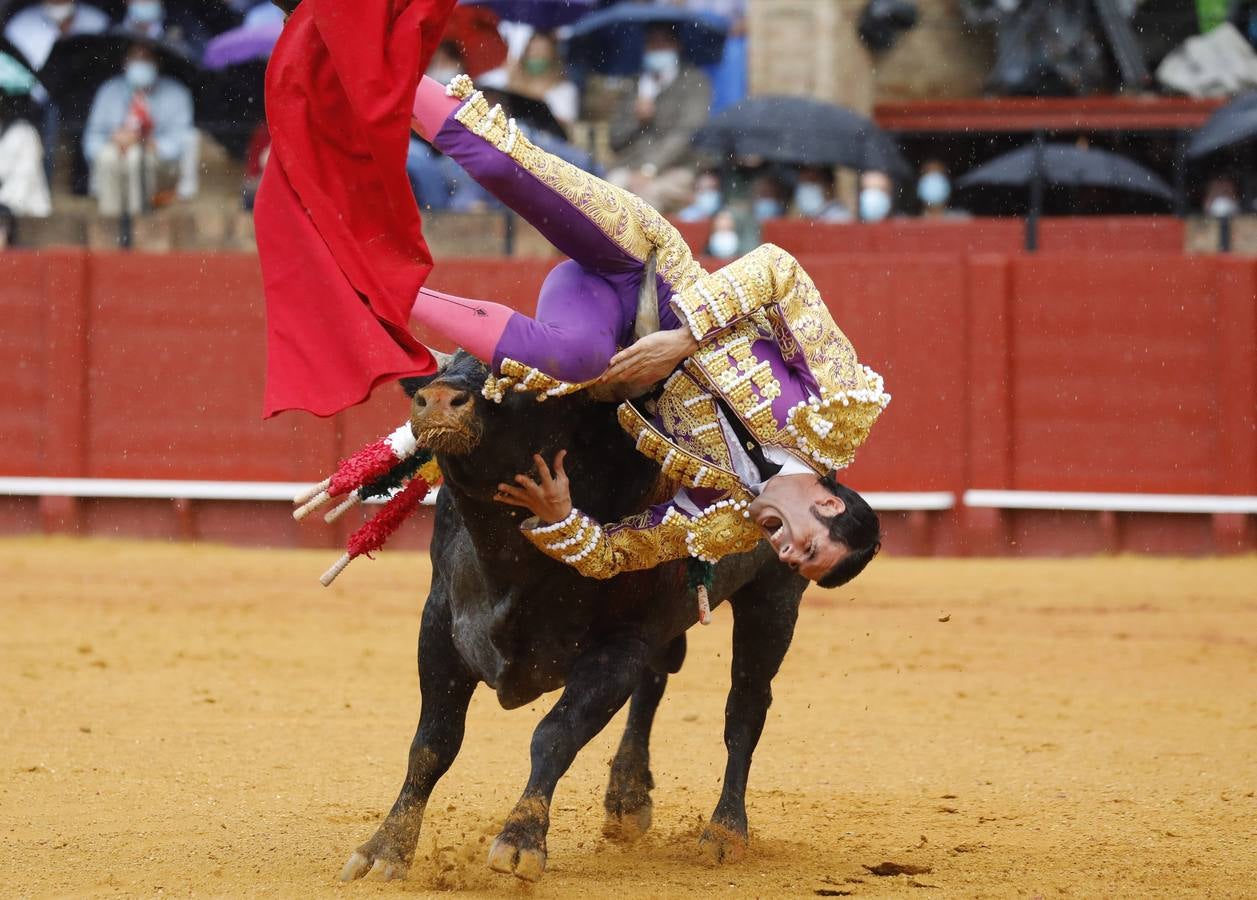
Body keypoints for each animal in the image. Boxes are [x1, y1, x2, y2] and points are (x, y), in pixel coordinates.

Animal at [339, 354, 804, 884]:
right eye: (450, 364)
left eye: (525, 380)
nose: (438, 399)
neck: (509, 558)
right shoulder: (439, 627)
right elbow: (432, 744)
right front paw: (385, 848)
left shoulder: (618, 648)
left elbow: (556, 733)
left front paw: (520, 841)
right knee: (656, 685)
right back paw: (627, 798)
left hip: (774, 596)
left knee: (745, 708)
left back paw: (724, 833)